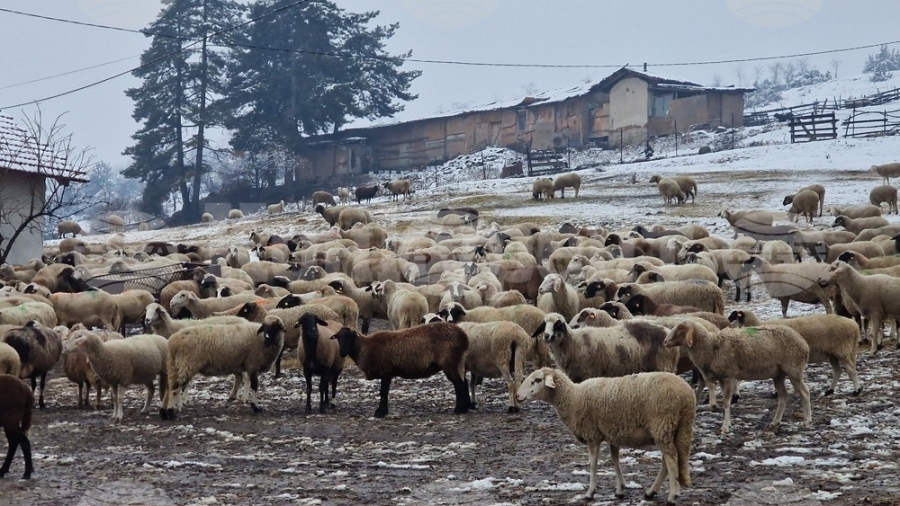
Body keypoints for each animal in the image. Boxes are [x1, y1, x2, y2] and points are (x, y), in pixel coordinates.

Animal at [330, 324, 472, 420]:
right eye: (338, 338)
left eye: (349, 337)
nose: (342, 353)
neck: (367, 348)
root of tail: (464, 337)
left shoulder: (386, 371)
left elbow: (383, 392)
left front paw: (380, 412)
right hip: (457, 361)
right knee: (464, 382)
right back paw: (465, 408)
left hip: (450, 361)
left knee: (459, 384)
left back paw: (458, 409)